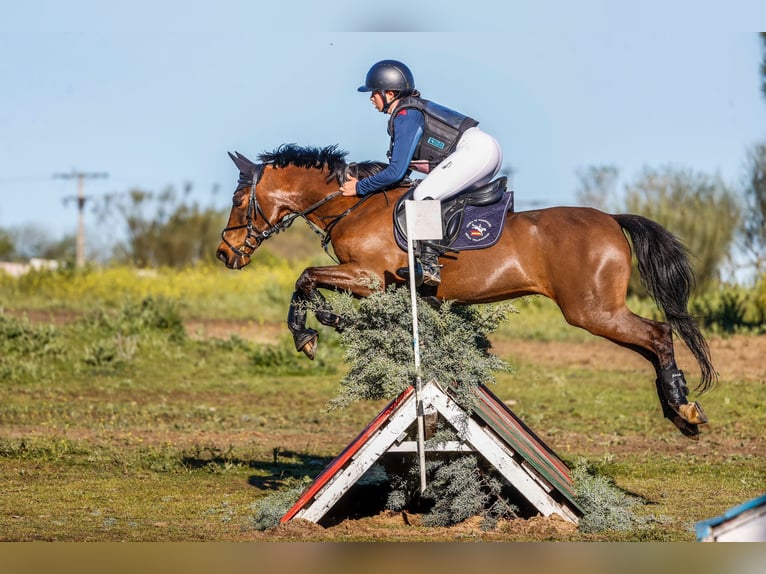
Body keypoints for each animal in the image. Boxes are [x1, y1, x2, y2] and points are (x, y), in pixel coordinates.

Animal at [218, 145, 720, 440]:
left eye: (240, 202)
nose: (225, 255)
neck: (352, 204)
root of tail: (613, 219)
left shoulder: (367, 276)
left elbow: (305, 277)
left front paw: (307, 333)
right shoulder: (377, 285)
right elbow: (311, 283)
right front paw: (327, 319)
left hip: (593, 310)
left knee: (657, 335)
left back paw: (683, 408)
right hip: (598, 311)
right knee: (653, 341)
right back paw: (679, 411)